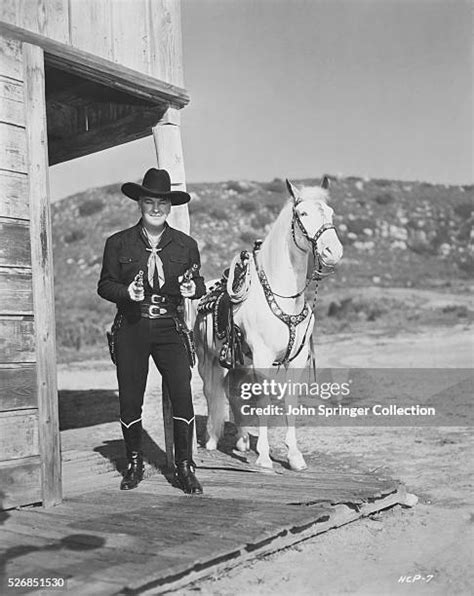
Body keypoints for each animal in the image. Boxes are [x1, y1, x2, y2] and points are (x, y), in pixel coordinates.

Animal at [194, 177, 342, 470]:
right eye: (302, 214)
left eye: (330, 213)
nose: (333, 252)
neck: (283, 298)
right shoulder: (263, 357)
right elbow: (262, 400)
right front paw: (263, 457)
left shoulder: (296, 360)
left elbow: (290, 401)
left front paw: (294, 456)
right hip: (208, 359)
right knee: (211, 392)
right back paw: (212, 439)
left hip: (238, 361)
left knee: (234, 392)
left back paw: (240, 441)